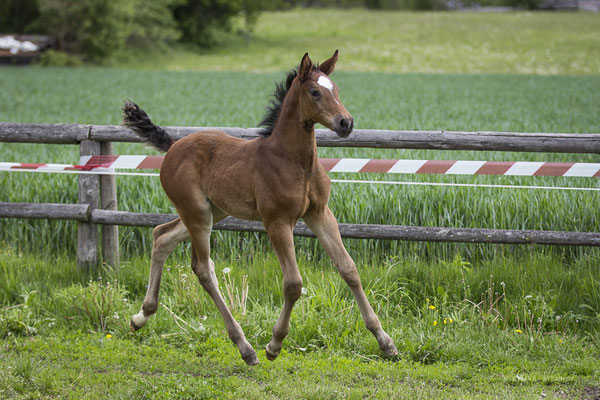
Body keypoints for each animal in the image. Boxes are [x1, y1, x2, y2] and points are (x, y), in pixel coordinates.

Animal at [122, 50, 398, 366]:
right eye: (315, 92)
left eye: (336, 90)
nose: (346, 123)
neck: (294, 162)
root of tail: (174, 145)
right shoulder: (277, 221)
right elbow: (293, 284)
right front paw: (274, 345)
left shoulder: (320, 214)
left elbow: (349, 269)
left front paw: (385, 342)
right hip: (197, 213)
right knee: (203, 268)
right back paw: (245, 347)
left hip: (214, 211)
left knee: (161, 235)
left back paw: (141, 316)